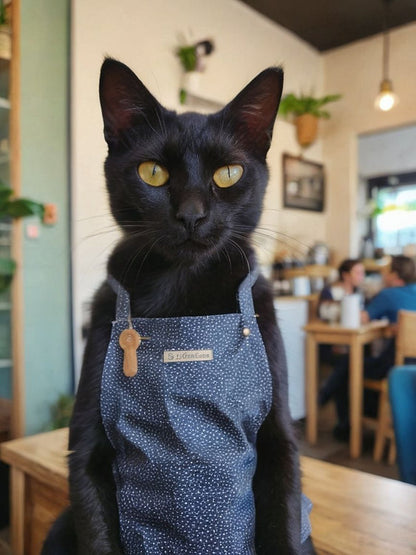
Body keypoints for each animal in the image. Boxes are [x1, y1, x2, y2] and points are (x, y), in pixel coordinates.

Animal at [44, 58, 314, 552]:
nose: (191, 215)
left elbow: (282, 525)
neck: (182, 291)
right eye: (153, 172)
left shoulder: (280, 440)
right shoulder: (85, 449)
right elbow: (98, 533)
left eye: (229, 173)